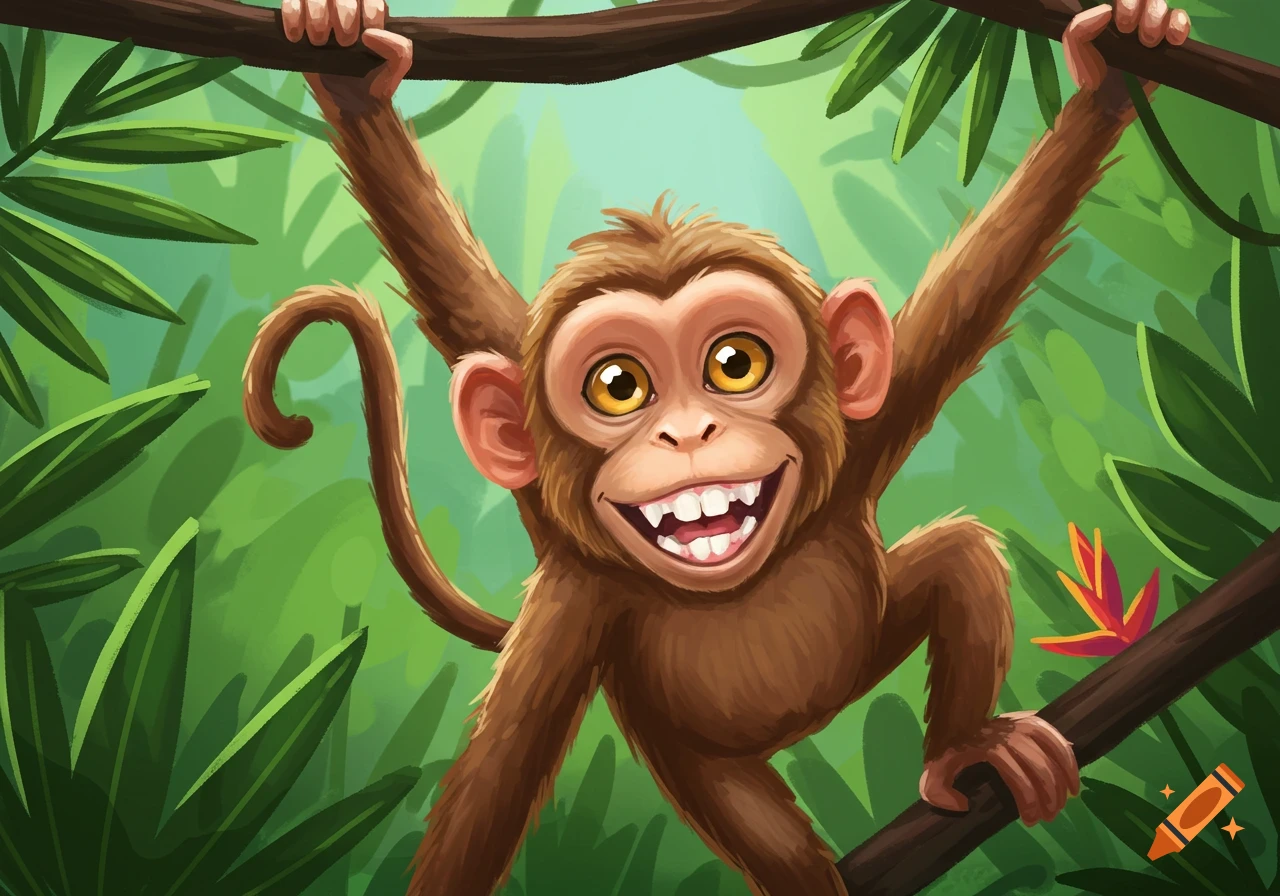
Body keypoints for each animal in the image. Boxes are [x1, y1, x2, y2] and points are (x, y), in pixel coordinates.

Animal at [241, 1, 1191, 893]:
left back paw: (961, 751)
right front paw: (349, 76)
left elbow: (979, 283)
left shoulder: (860, 437)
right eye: (619, 386)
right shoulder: (573, 611)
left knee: (958, 556)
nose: (688, 429)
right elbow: (488, 796)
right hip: (691, 758)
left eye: (736, 365)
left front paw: (1113, 70)